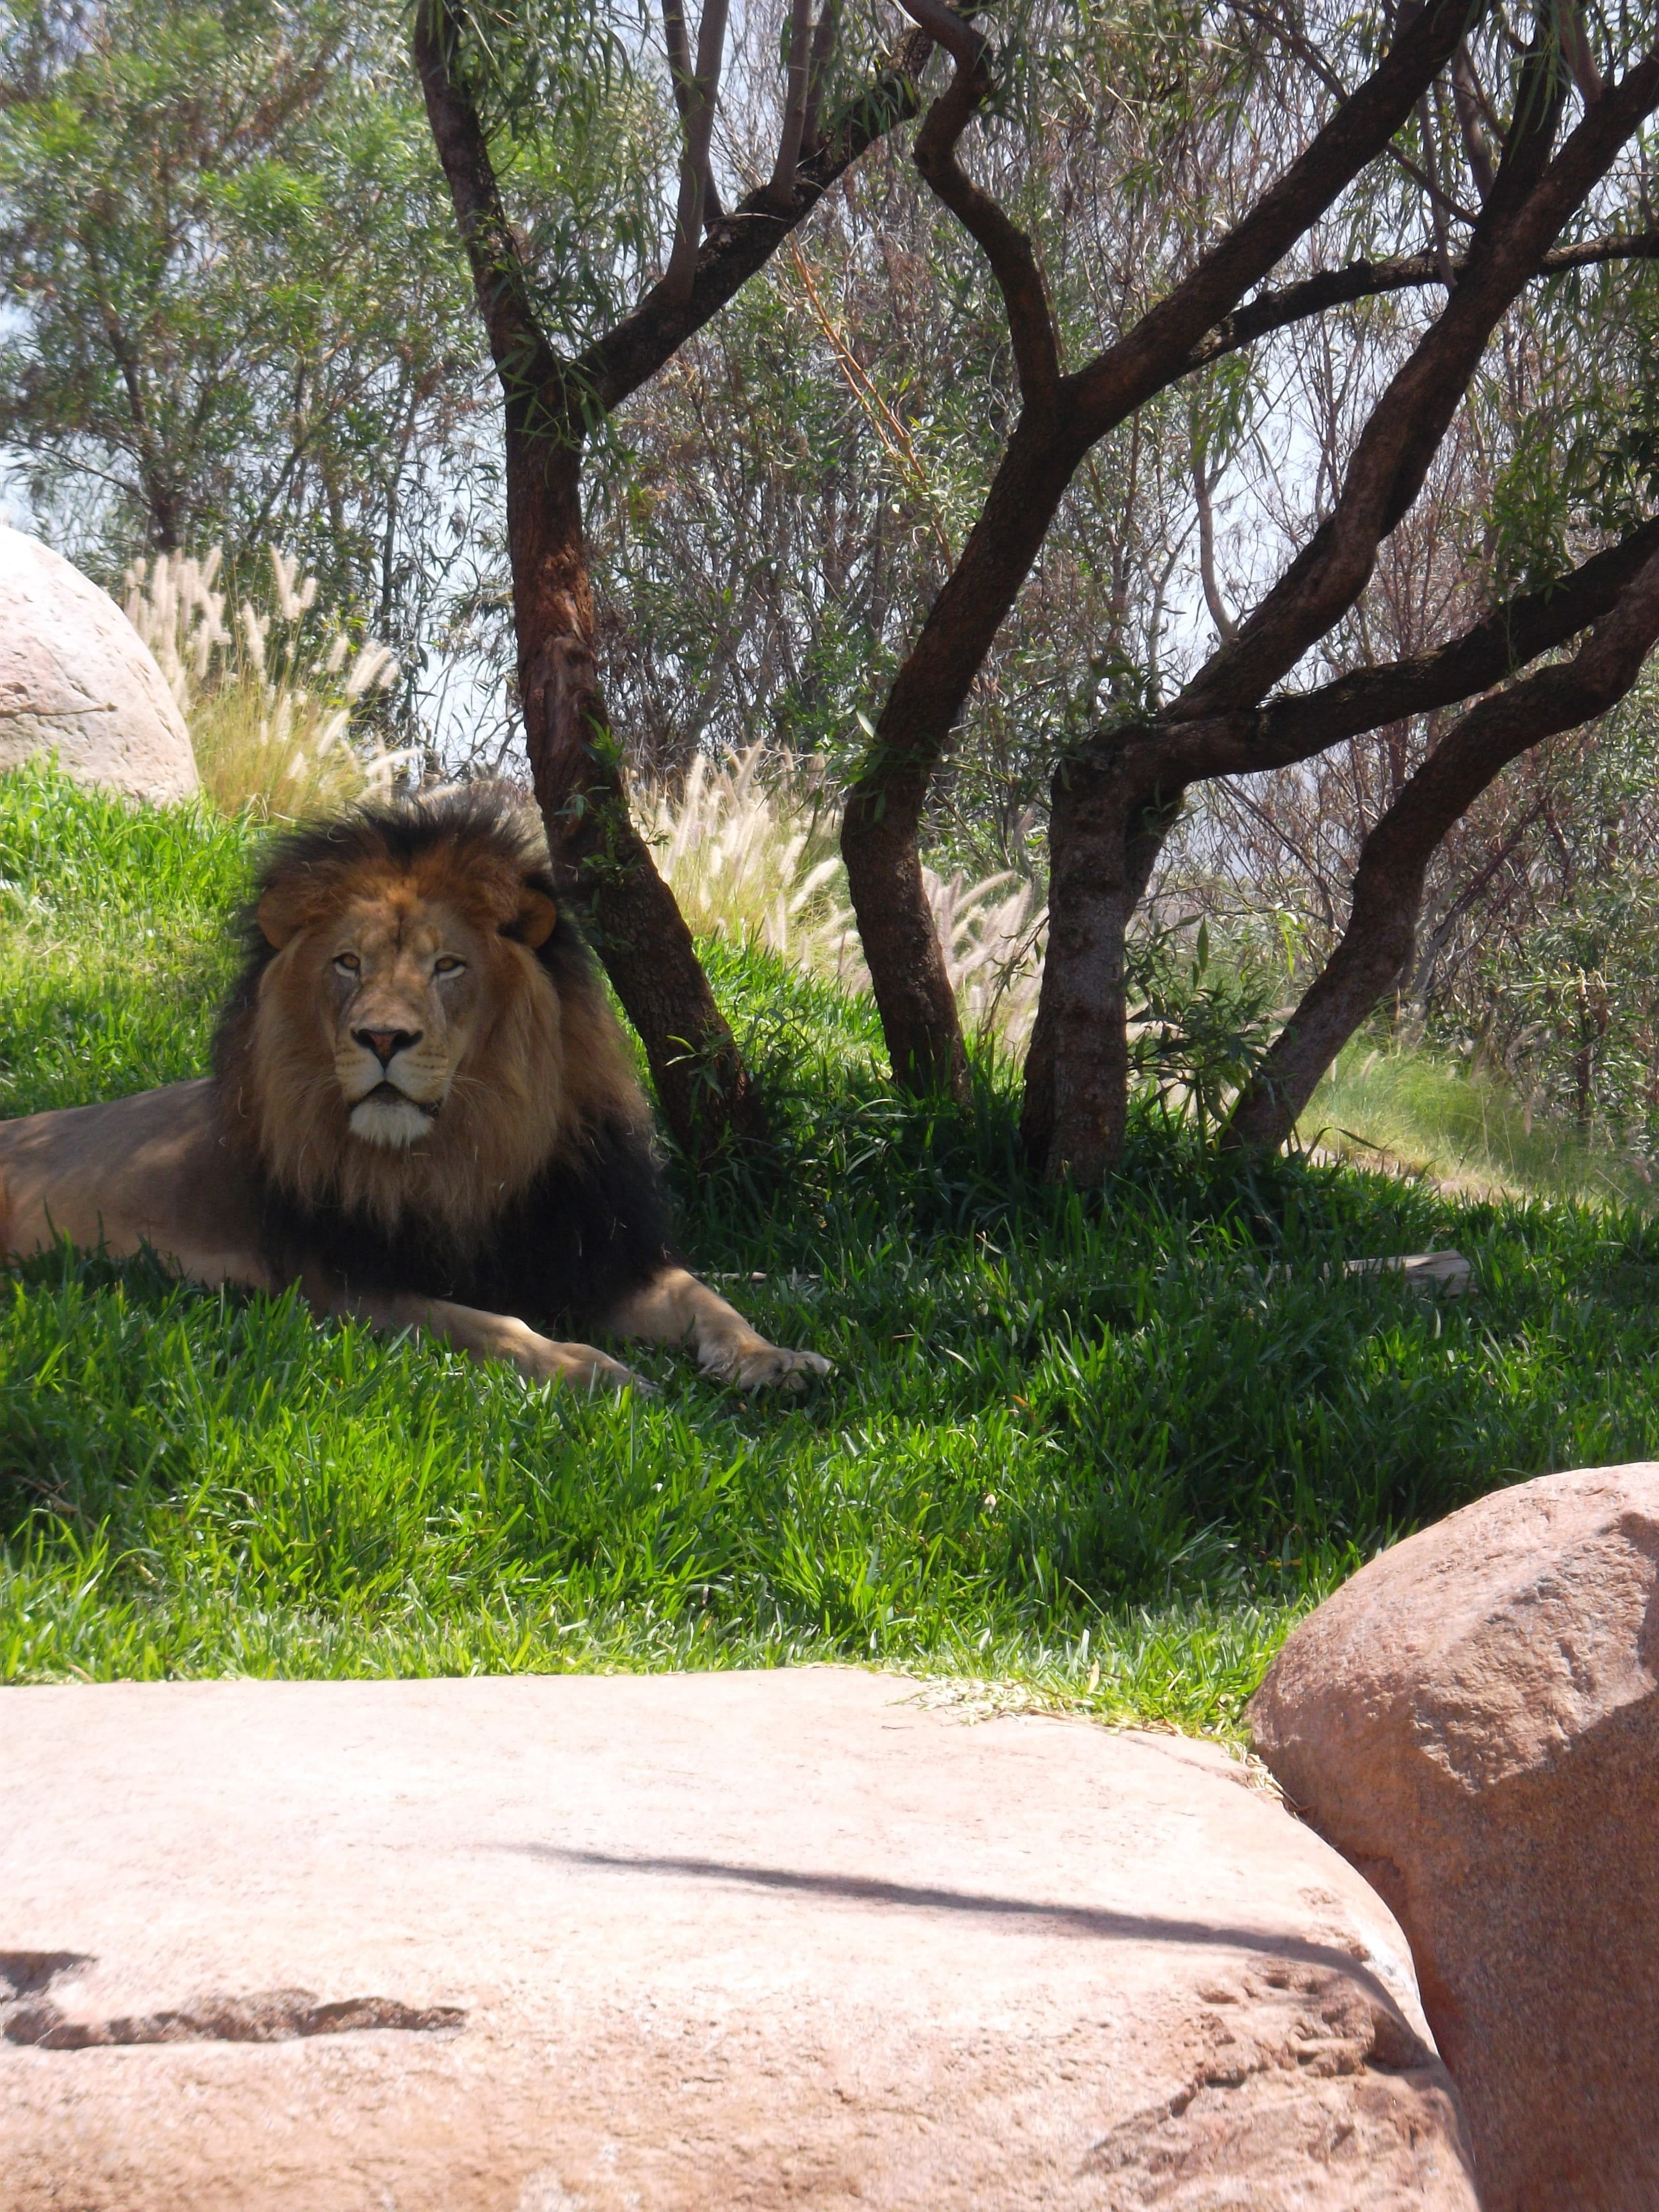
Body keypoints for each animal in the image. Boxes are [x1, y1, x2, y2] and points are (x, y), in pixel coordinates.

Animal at [0, 788, 831, 1394]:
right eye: (348, 964)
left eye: (447, 966)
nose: (382, 1038)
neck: (468, 1151)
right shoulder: (343, 1285)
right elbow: (491, 1325)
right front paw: (588, 1368)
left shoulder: (599, 1248)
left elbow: (707, 1299)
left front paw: (774, 1357)